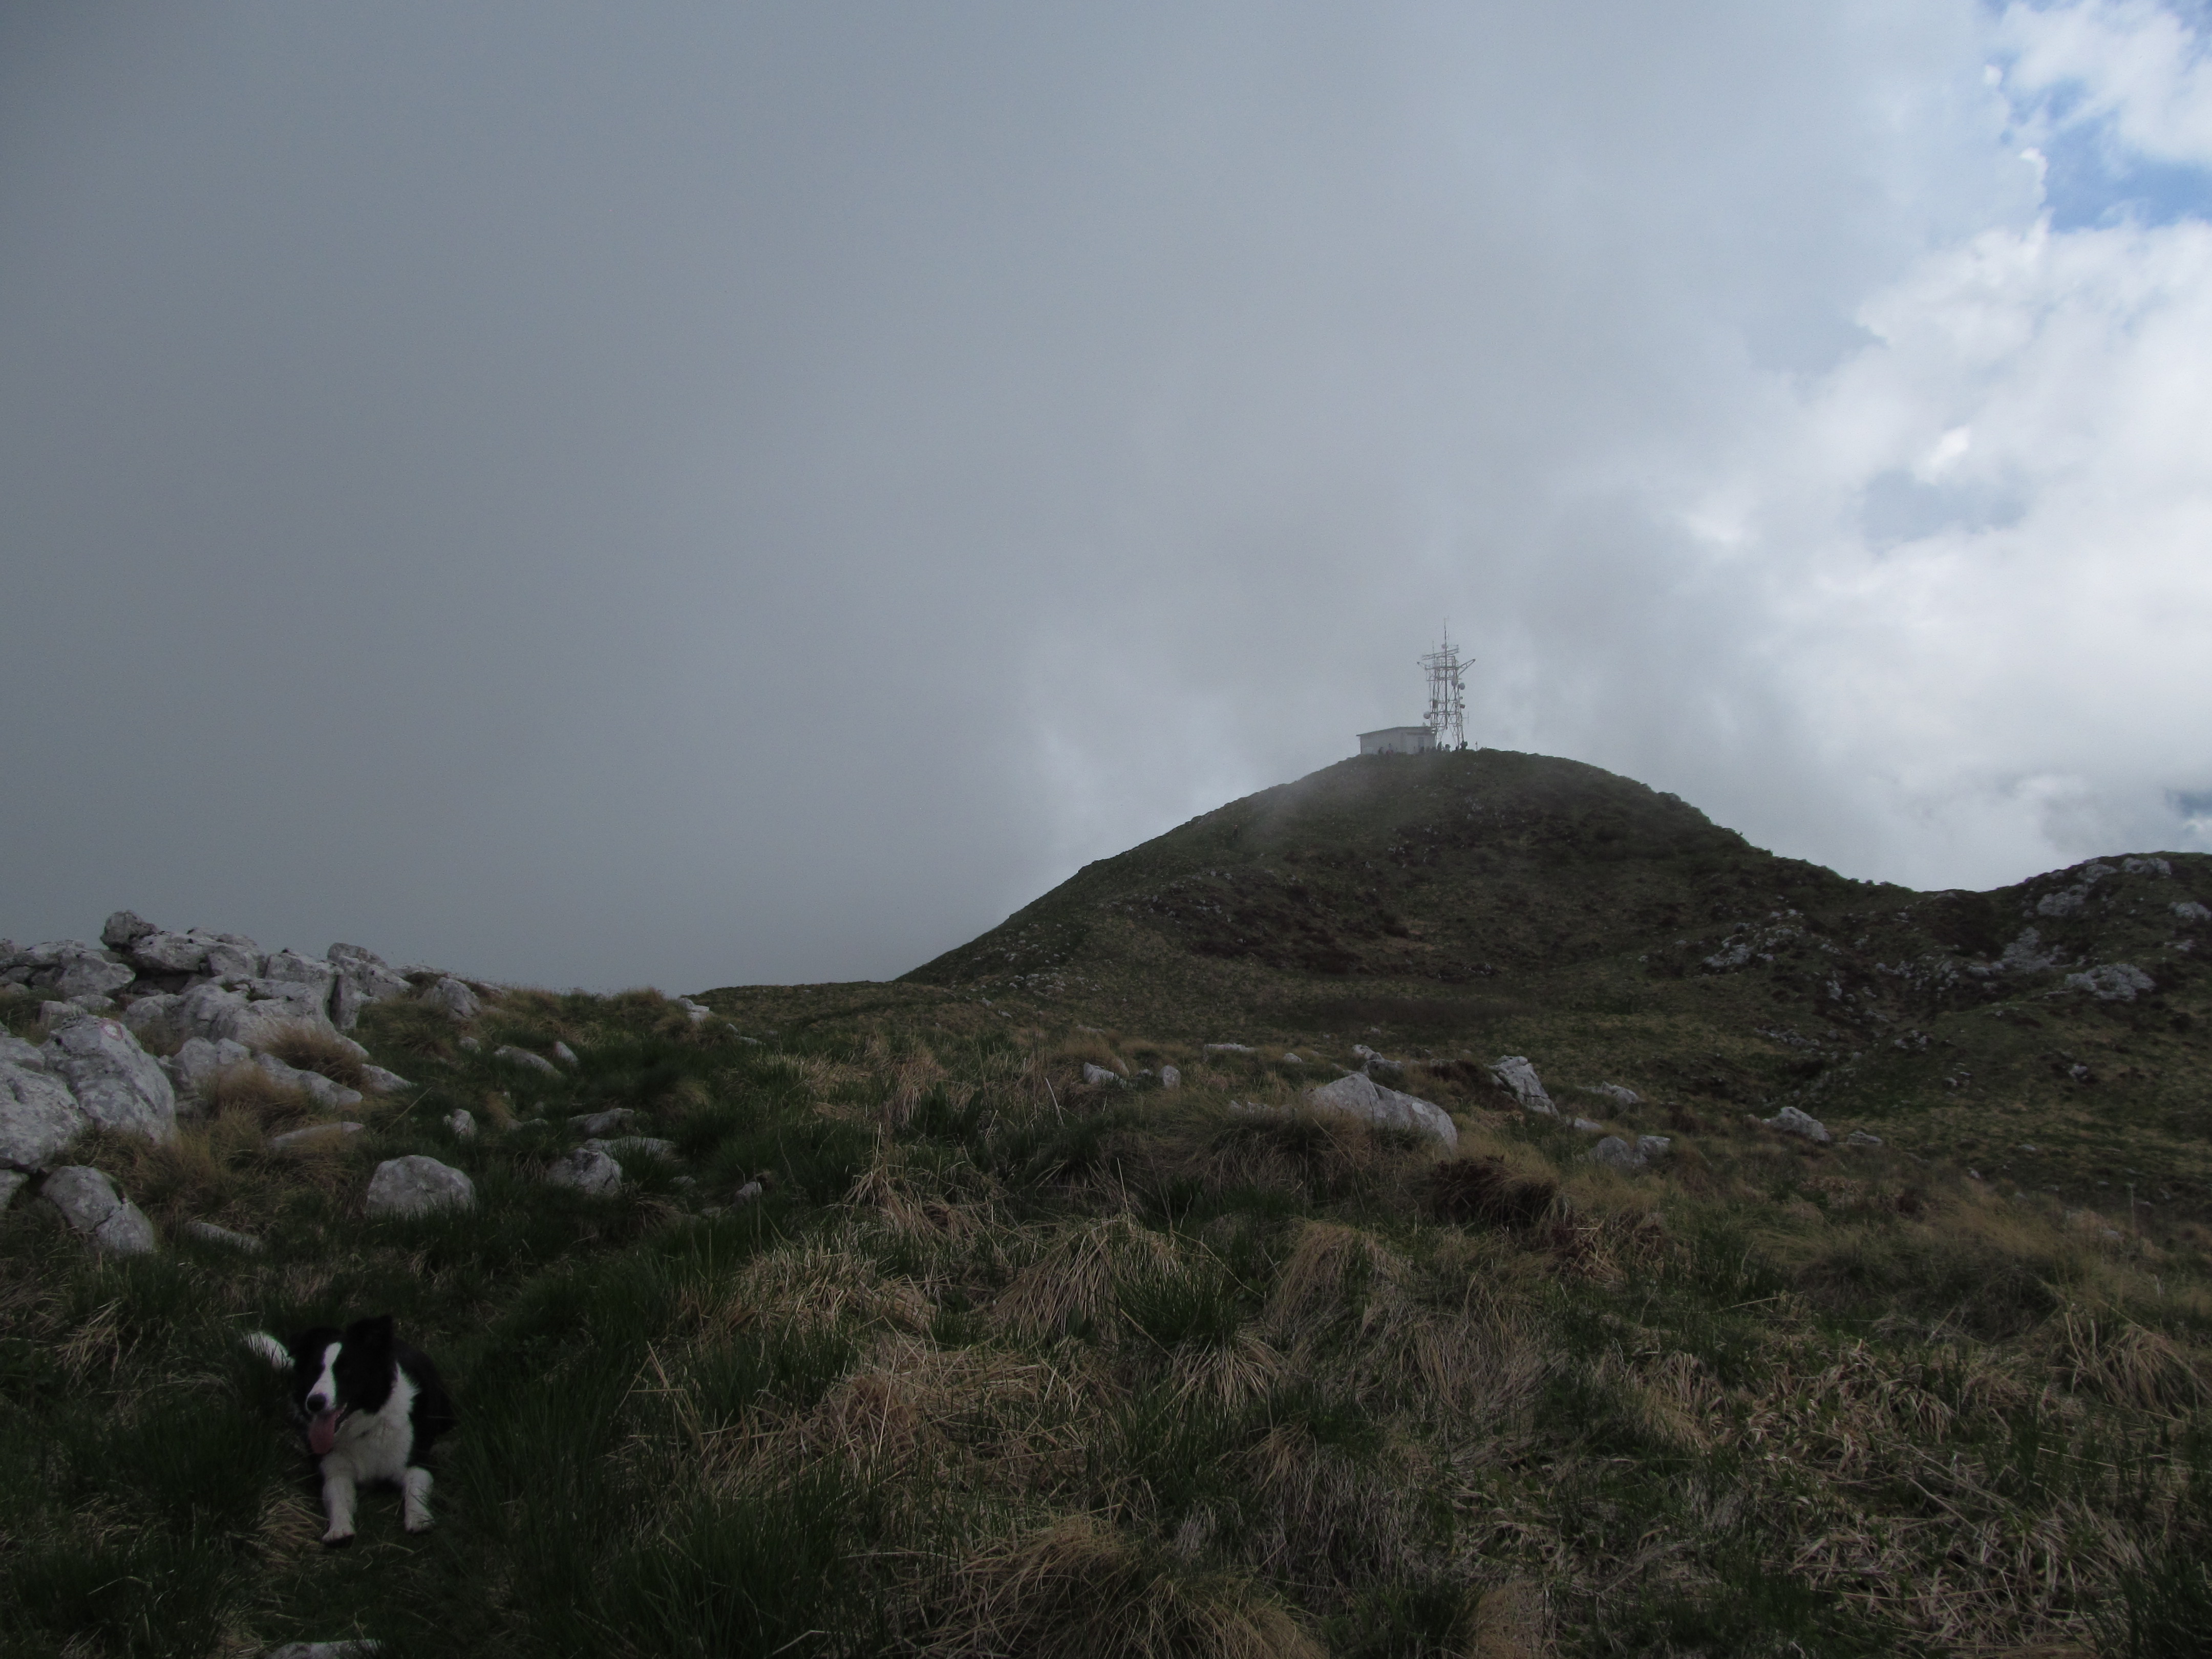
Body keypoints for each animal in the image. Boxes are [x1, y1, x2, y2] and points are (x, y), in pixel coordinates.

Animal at [244, 1315, 456, 1547]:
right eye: (313, 1371)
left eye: (346, 1372)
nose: (315, 1403)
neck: (367, 1425)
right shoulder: (334, 1470)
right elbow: (338, 1498)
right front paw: (339, 1529)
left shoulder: (415, 1462)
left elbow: (415, 1489)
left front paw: (419, 1519)